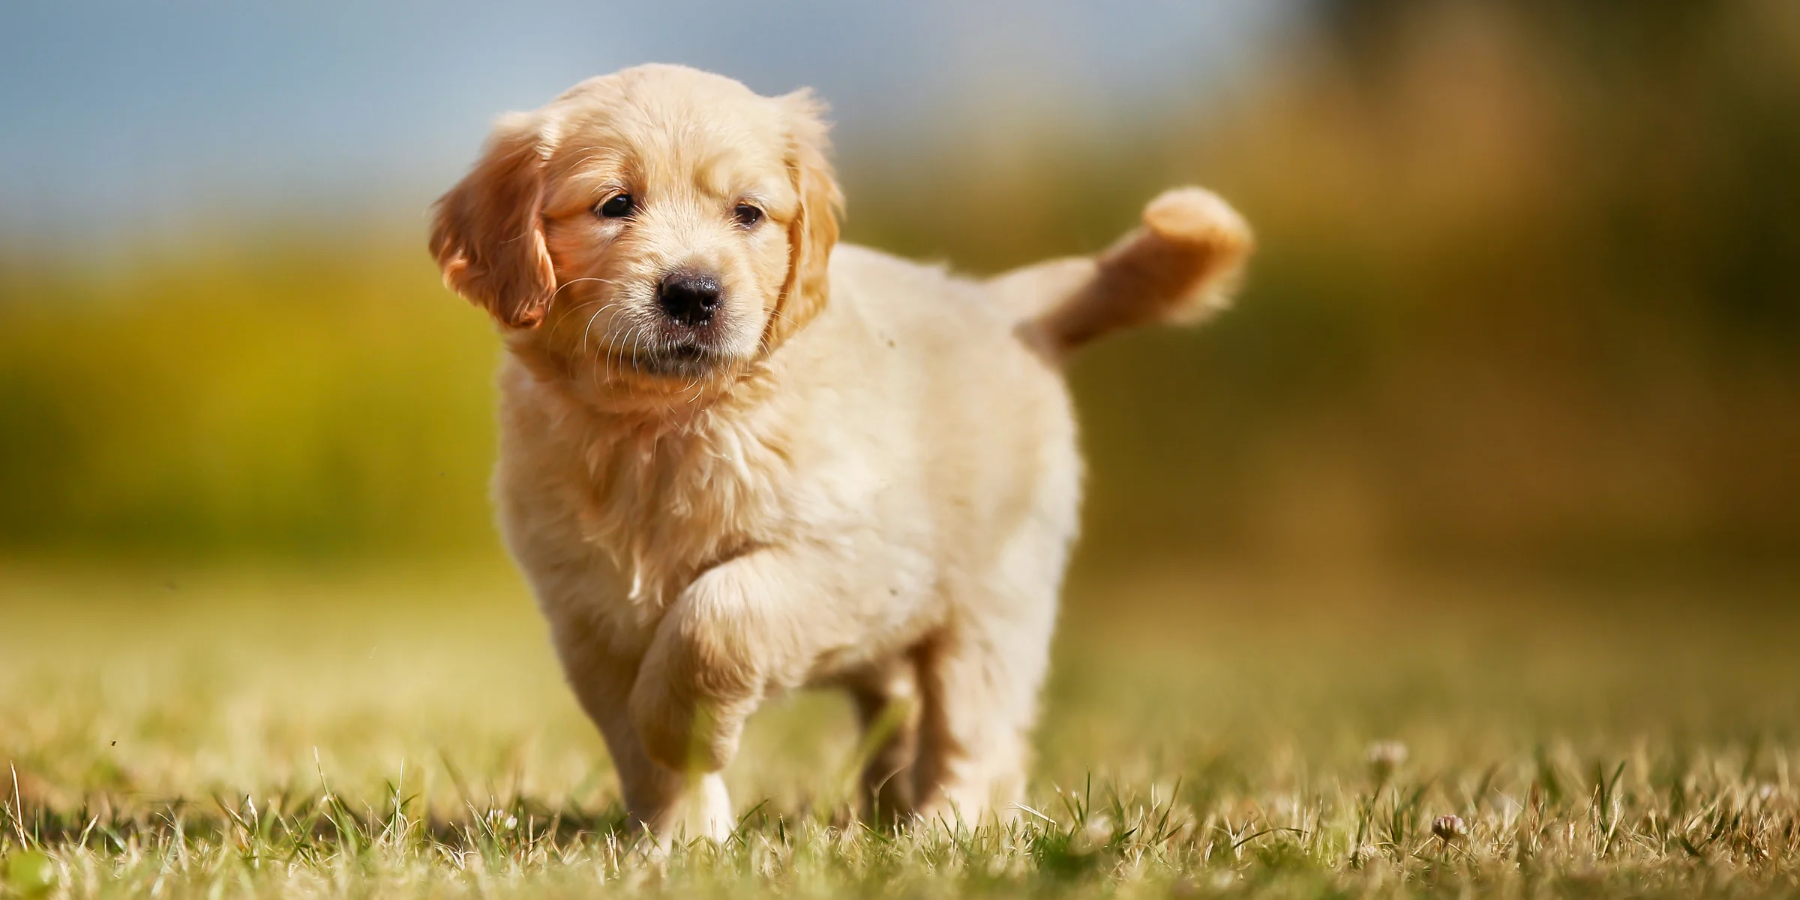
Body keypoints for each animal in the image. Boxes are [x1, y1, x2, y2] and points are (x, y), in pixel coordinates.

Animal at [433, 65, 1252, 842]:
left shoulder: (850, 556)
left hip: (996, 601)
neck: (662, 426)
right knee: (904, 714)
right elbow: (637, 748)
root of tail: (998, 302)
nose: (693, 293)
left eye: (749, 213)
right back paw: (888, 816)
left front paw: (687, 736)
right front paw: (680, 840)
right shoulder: (587, 614)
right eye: (614, 205)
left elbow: (713, 619)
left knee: (974, 737)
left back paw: (944, 833)